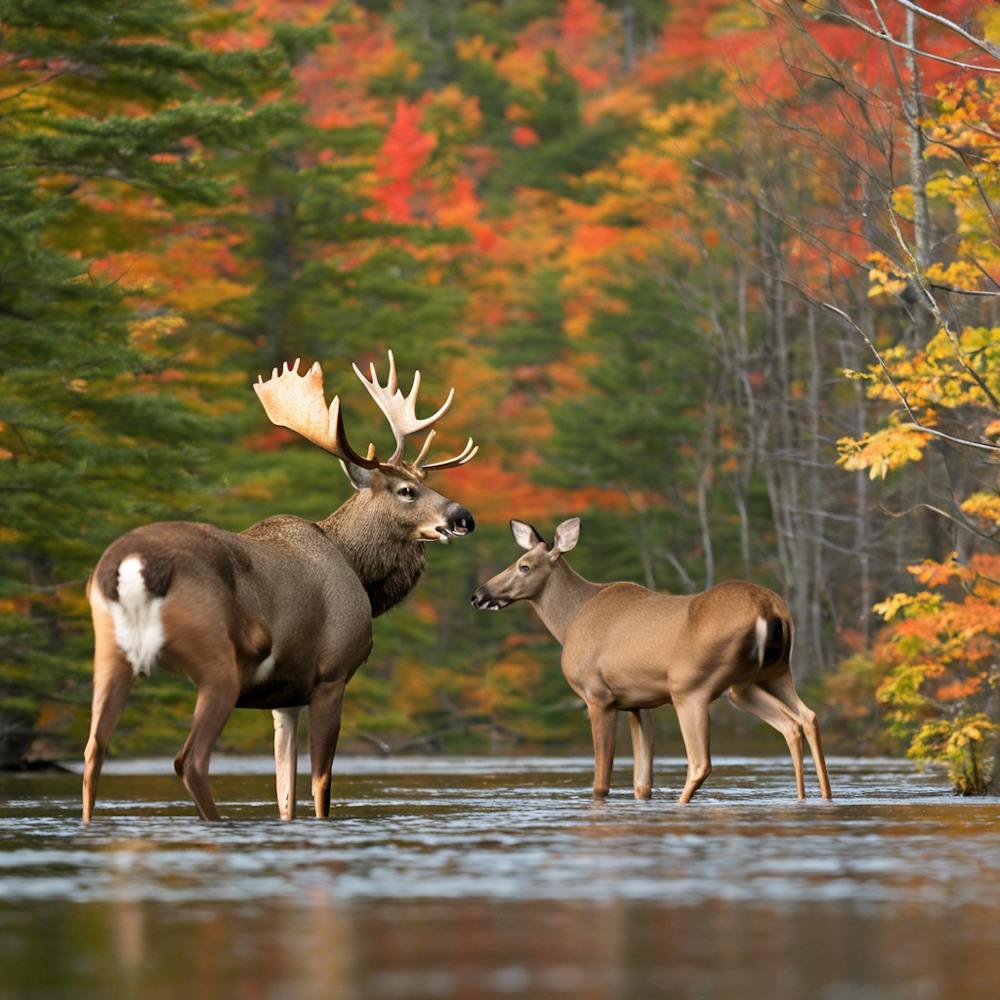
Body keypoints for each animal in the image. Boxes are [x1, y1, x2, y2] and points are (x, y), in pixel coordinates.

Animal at [83, 351, 478, 822]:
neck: (357, 570)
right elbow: (320, 786)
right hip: (218, 663)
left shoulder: (284, 697)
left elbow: (284, 793)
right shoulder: (332, 675)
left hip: (109, 652)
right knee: (189, 760)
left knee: (93, 752)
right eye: (406, 490)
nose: (464, 516)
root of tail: (133, 565)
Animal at [471, 518, 832, 804]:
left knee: (701, 762)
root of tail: (769, 610)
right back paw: (816, 798)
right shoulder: (638, 703)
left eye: (524, 565)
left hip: (692, 688)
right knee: (803, 720)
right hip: (764, 677)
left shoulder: (598, 696)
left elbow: (601, 783)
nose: (478, 595)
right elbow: (642, 783)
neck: (569, 621)